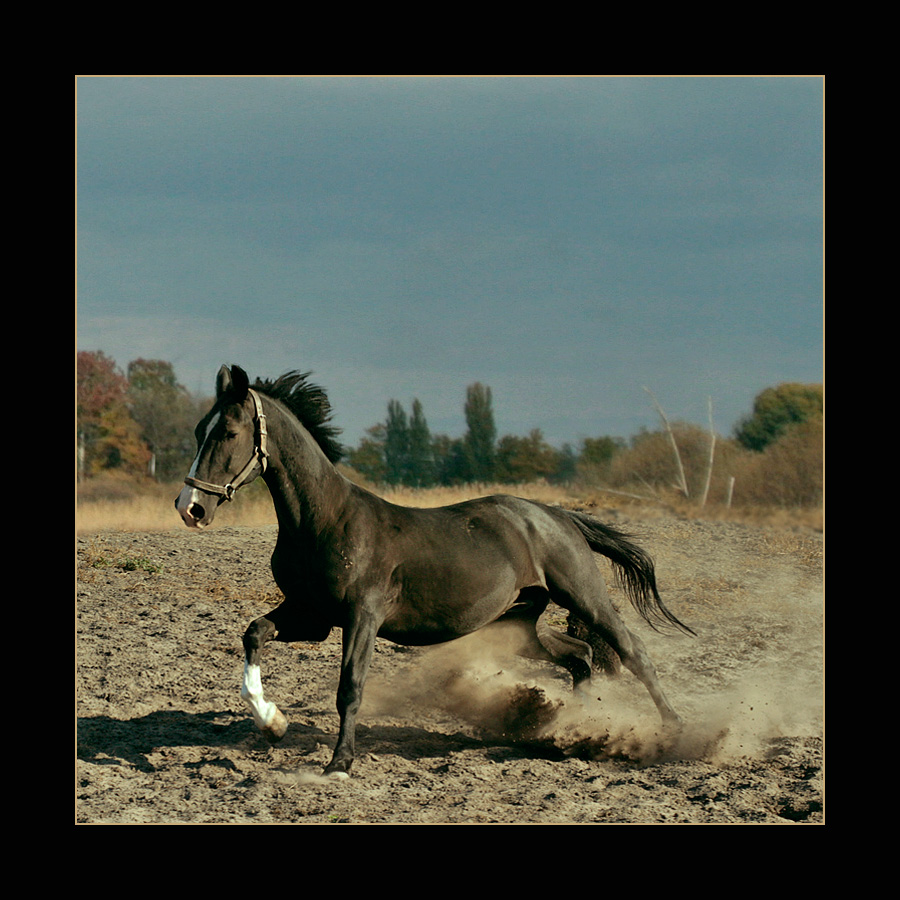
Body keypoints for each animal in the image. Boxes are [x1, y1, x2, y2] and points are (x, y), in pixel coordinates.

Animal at [178, 364, 696, 772]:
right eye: (199, 430)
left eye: (227, 433)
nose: (191, 508)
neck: (322, 520)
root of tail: (556, 515)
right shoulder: (311, 614)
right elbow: (254, 633)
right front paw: (273, 723)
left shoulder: (362, 616)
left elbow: (351, 686)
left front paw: (339, 764)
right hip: (517, 622)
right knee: (579, 654)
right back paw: (575, 724)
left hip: (583, 594)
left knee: (632, 652)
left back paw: (674, 731)